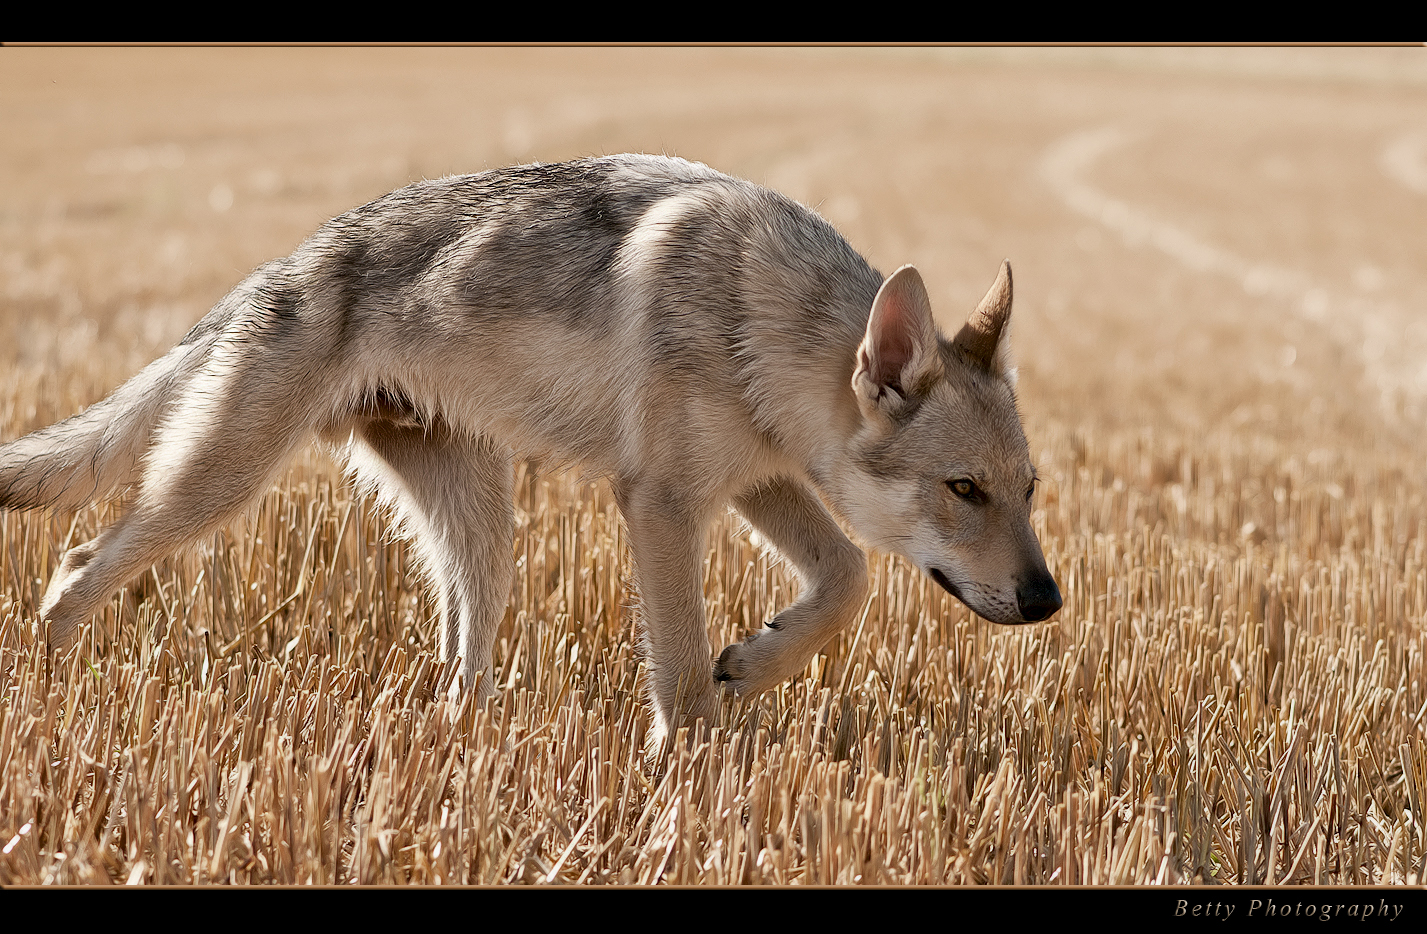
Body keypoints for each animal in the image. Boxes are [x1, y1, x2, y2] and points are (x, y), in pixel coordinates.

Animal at [2, 153, 1061, 741]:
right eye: (963, 489)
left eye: (1030, 490)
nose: (1050, 602)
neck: (764, 315)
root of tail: (276, 268)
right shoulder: (662, 502)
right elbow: (683, 674)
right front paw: (693, 785)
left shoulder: (753, 481)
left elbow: (847, 579)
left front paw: (754, 662)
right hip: (216, 487)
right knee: (75, 565)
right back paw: (46, 696)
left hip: (484, 535)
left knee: (457, 660)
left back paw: (462, 736)